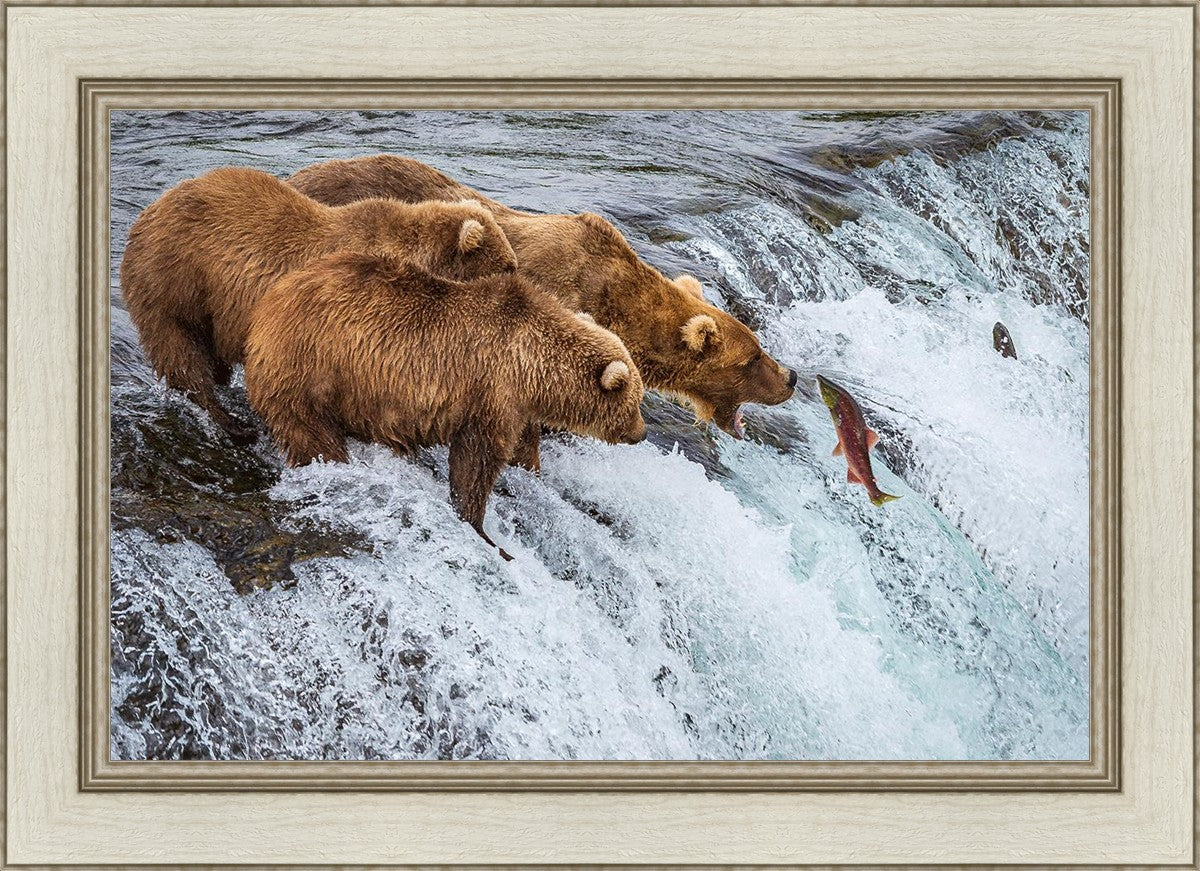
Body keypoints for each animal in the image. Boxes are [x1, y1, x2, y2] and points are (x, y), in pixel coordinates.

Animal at [120, 166, 518, 444]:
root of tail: (148, 212)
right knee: (181, 353)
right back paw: (232, 423)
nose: (519, 279)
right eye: (508, 265)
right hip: (175, 282)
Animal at [243, 250, 646, 559]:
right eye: (635, 402)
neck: (532, 365)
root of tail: (266, 307)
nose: (641, 433)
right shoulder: (491, 391)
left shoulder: (516, 406)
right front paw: (483, 530)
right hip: (310, 369)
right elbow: (476, 461)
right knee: (312, 434)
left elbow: (520, 449)